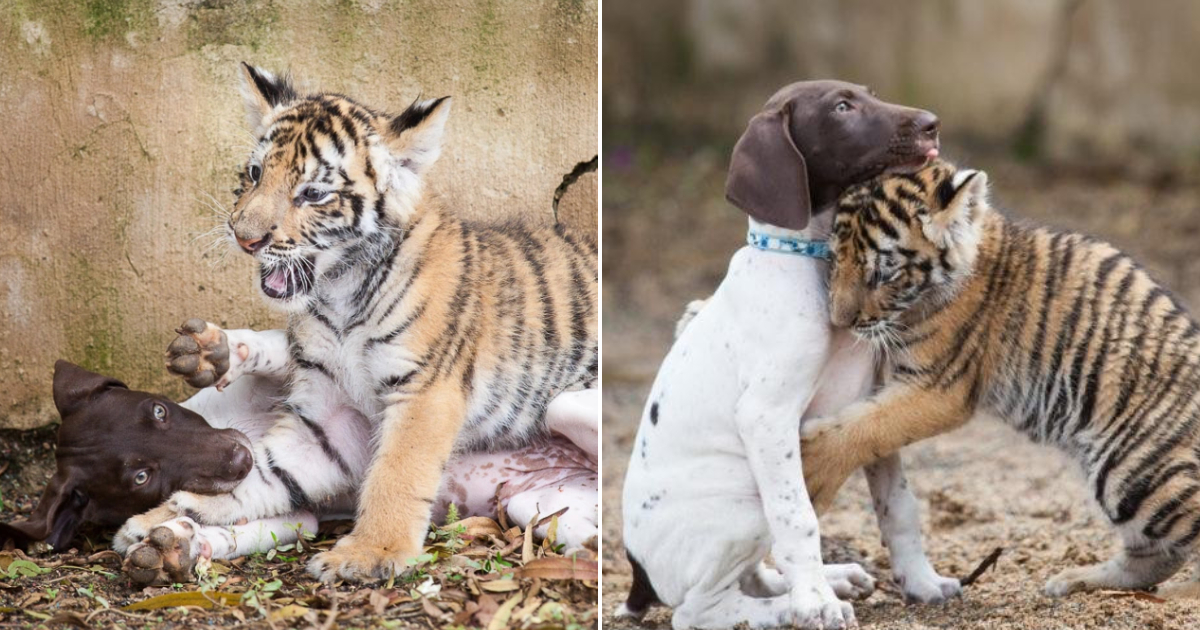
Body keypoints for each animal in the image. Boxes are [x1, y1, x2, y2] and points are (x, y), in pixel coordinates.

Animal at [0, 324, 597, 585]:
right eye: (141, 476)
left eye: (159, 411)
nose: (238, 458)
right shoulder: (302, 513)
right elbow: (240, 525)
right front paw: (183, 546)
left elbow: (276, 348)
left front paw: (222, 350)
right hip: (541, 511)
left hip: (561, 407)